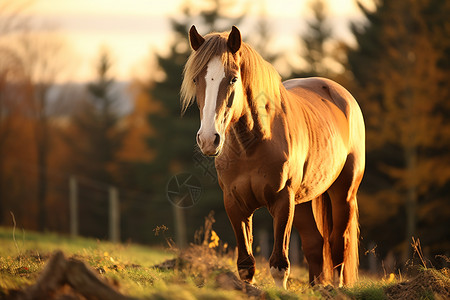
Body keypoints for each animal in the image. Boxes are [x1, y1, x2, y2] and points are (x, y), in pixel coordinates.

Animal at [180, 25, 366, 288]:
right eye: (197, 79)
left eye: (233, 78)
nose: (208, 139)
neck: (251, 145)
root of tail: (341, 94)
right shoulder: (235, 204)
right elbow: (246, 266)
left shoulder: (282, 201)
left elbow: (279, 265)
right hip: (303, 202)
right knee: (315, 244)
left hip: (343, 193)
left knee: (338, 244)